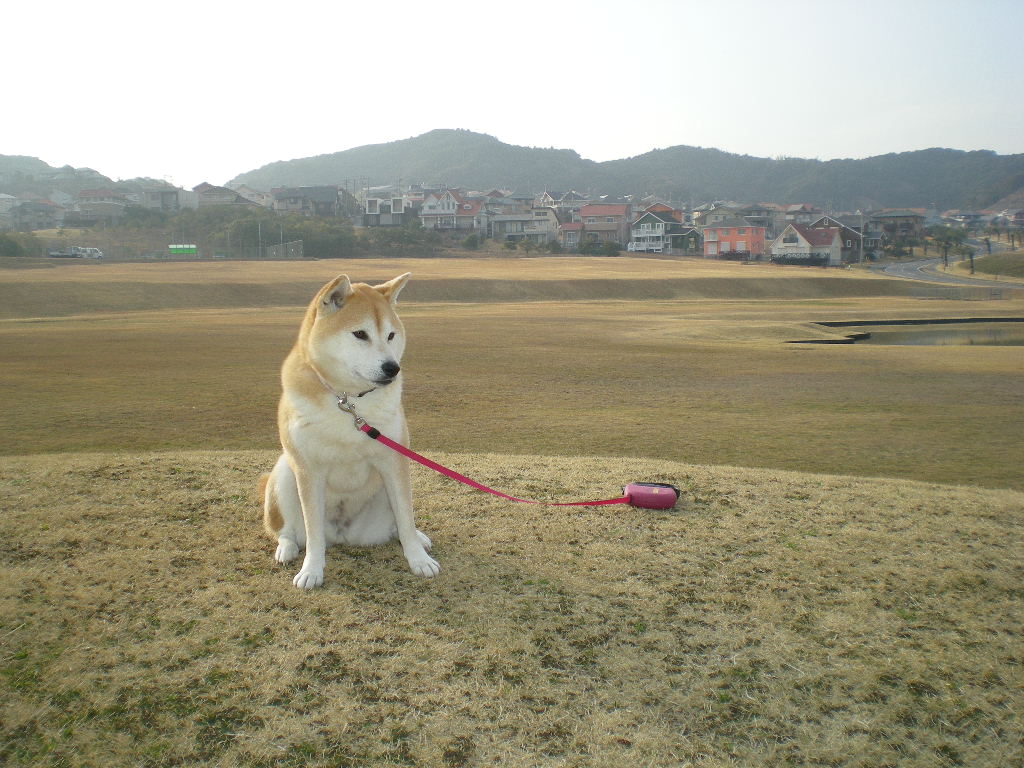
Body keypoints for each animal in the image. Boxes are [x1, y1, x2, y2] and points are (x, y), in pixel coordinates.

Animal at [260, 274, 436, 593]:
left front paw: (418, 559)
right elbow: (314, 533)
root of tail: (342, 535)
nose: (392, 368)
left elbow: (406, 517)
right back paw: (287, 549)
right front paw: (312, 570)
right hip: (284, 473)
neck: (348, 400)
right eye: (360, 334)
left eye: (391, 336)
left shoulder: (394, 461)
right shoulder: (309, 471)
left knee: (397, 525)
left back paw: (418, 537)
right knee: (287, 530)